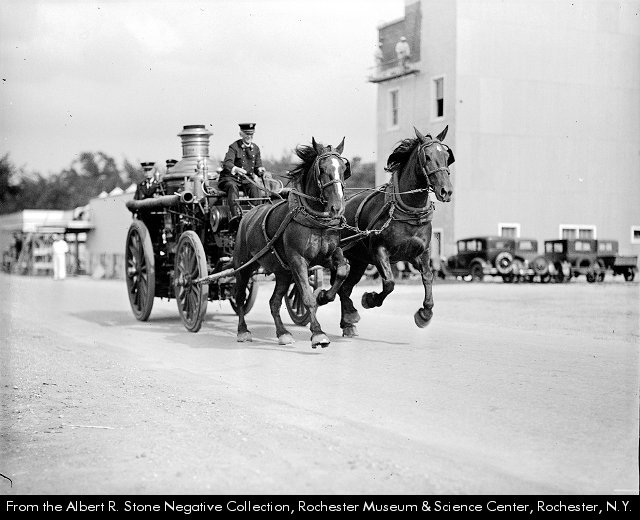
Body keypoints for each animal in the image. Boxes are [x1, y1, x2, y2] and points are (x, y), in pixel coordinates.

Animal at [232, 138, 351, 348]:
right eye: (322, 168)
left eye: (344, 168)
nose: (337, 207)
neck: (314, 220)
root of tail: (247, 214)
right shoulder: (298, 260)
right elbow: (307, 296)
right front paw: (318, 333)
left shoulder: (327, 256)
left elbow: (343, 271)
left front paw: (324, 296)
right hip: (243, 266)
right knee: (240, 297)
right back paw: (243, 330)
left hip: (283, 273)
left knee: (274, 302)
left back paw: (282, 333)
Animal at [335, 126, 454, 337]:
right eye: (427, 157)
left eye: (447, 156)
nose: (446, 191)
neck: (408, 211)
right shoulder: (379, 251)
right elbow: (389, 283)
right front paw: (370, 299)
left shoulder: (419, 254)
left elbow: (428, 277)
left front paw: (425, 314)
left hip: (358, 261)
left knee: (345, 289)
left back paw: (348, 322)